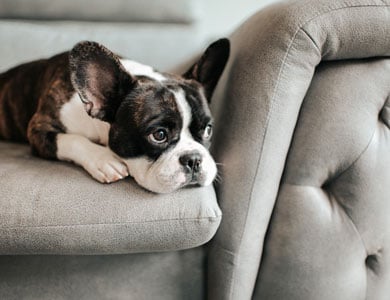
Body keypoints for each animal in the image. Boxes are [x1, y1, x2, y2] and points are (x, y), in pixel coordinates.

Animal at [0, 39, 230, 192]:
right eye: (159, 135)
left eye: (208, 130)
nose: (194, 159)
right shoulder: (39, 128)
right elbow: (72, 139)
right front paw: (103, 159)